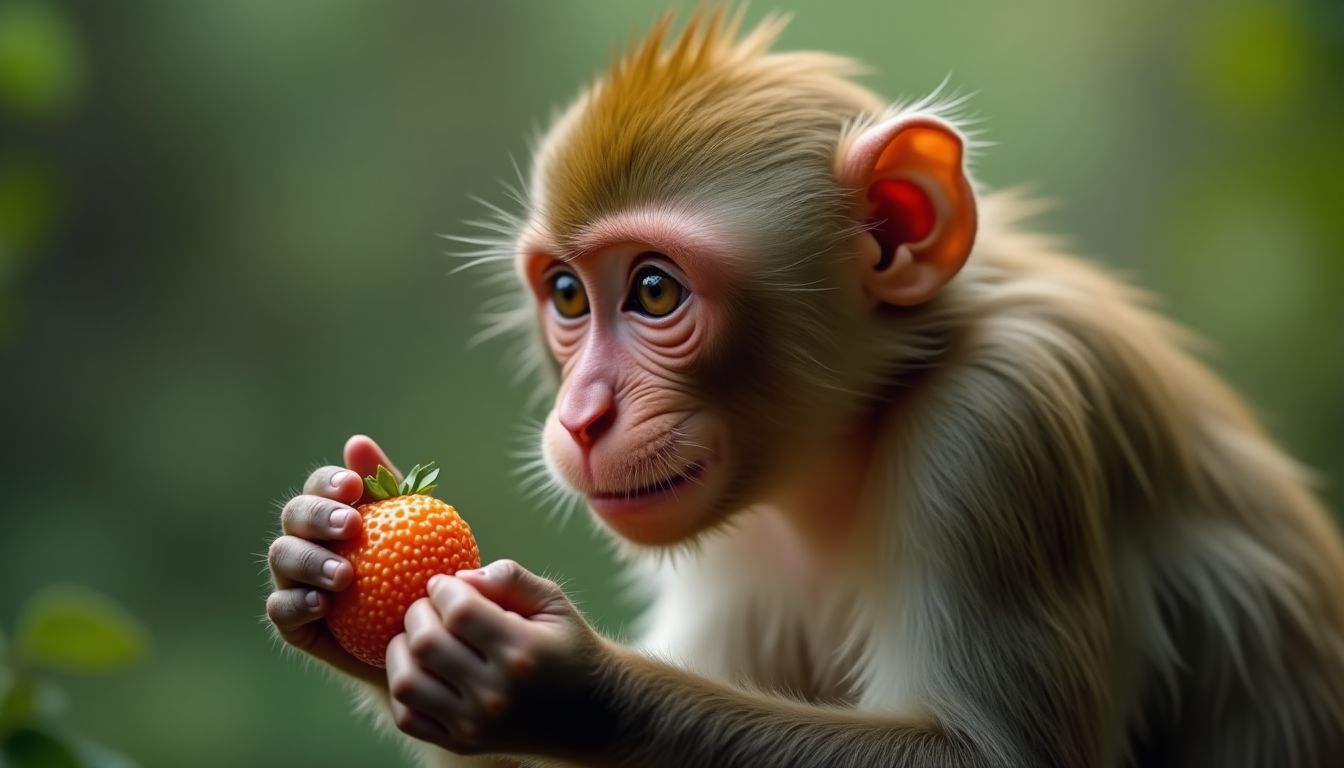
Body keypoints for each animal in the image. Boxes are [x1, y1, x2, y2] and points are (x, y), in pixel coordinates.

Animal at [265, 9, 1344, 768]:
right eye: (568, 294)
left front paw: (556, 687)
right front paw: (320, 545)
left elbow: (992, 759)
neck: (869, 416)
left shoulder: (1000, 426)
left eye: (653, 290)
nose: (581, 416)